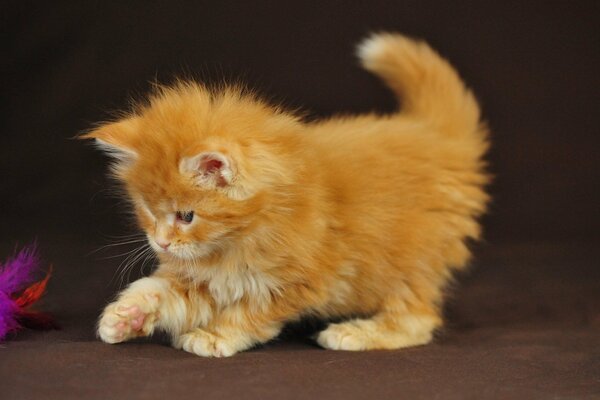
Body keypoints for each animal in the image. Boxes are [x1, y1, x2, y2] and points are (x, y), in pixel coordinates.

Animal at [83, 32, 488, 356]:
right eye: (149, 211)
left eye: (186, 216)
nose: (162, 243)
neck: (237, 239)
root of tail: (439, 138)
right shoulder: (203, 280)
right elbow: (161, 292)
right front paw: (126, 316)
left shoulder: (295, 283)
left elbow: (248, 315)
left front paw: (214, 336)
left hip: (407, 263)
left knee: (418, 319)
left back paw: (356, 333)